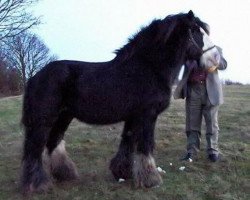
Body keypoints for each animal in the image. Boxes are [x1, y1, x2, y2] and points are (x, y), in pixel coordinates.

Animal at [21, 10, 221, 194]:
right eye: (195, 31)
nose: (216, 58)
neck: (149, 68)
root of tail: (35, 77)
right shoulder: (147, 116)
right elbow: (145, 145)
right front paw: (151, 179)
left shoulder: (133, 118)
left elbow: (128, 143)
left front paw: (123, 173)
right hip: (44, 120)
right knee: (34, 149)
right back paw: (37, 184)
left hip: (64, 116)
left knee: (53, 142)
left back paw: (65, 174)